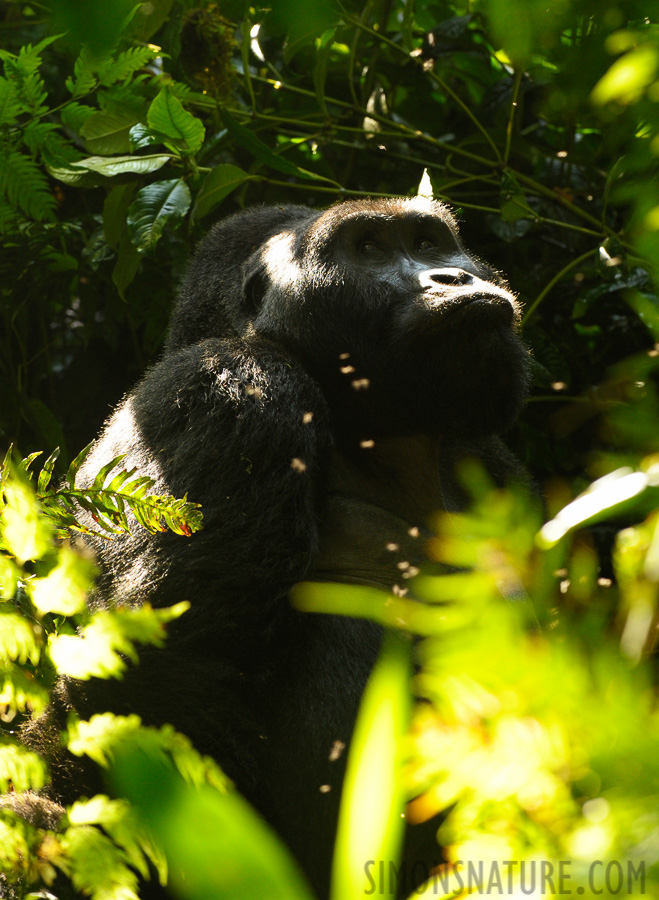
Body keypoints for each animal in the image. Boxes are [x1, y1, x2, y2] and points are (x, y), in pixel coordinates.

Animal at [18, 197, 532, 900]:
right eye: (369, 247)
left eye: (428, 241)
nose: (456, 277)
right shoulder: (232, 391)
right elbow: (161, 681)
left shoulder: (491, 460)